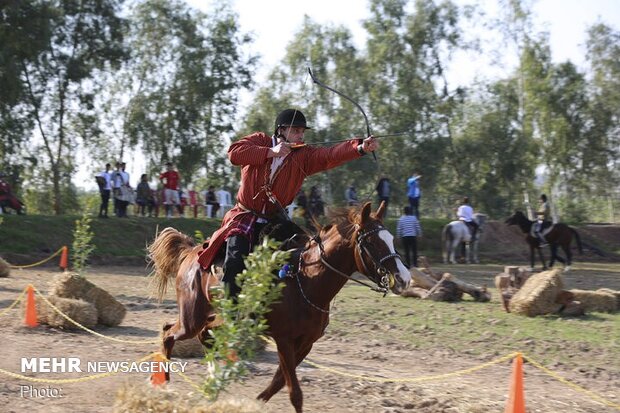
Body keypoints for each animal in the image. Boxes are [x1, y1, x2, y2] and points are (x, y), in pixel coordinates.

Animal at [148, 201, 412, 410]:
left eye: (391, 239)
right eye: (372, 242)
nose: (404, 279)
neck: (307, 281)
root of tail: (191, 253)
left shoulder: (306, 343)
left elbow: (278, 382)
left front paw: (255, 402)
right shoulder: (284, 339)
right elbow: (295, 392)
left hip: (214, 318)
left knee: (202, 336)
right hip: (192, 317)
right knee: (168, 333)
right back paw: (166, 385)